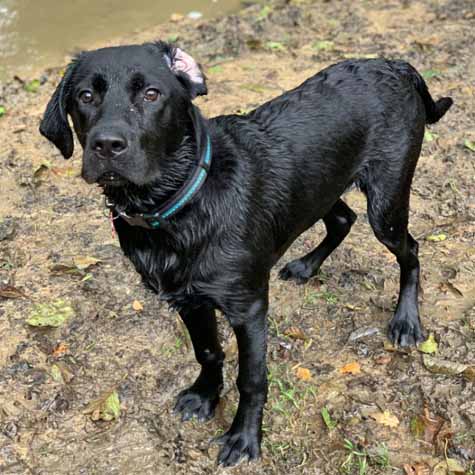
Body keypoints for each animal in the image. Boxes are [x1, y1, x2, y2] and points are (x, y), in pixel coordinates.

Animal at [39, 42, 452, 466]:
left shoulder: (248, 307)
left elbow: (252, 378)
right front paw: (205, 395)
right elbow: (207, 351)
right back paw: (306, 266)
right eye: (85, 96)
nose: (107, 145)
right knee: (342, 218)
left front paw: (243, 436)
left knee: (410, 251)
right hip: (322, 186)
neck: (178, 205)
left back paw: (406, 321)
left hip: (386, 202)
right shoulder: (189, 300)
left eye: (151, 94)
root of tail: (394, 65)